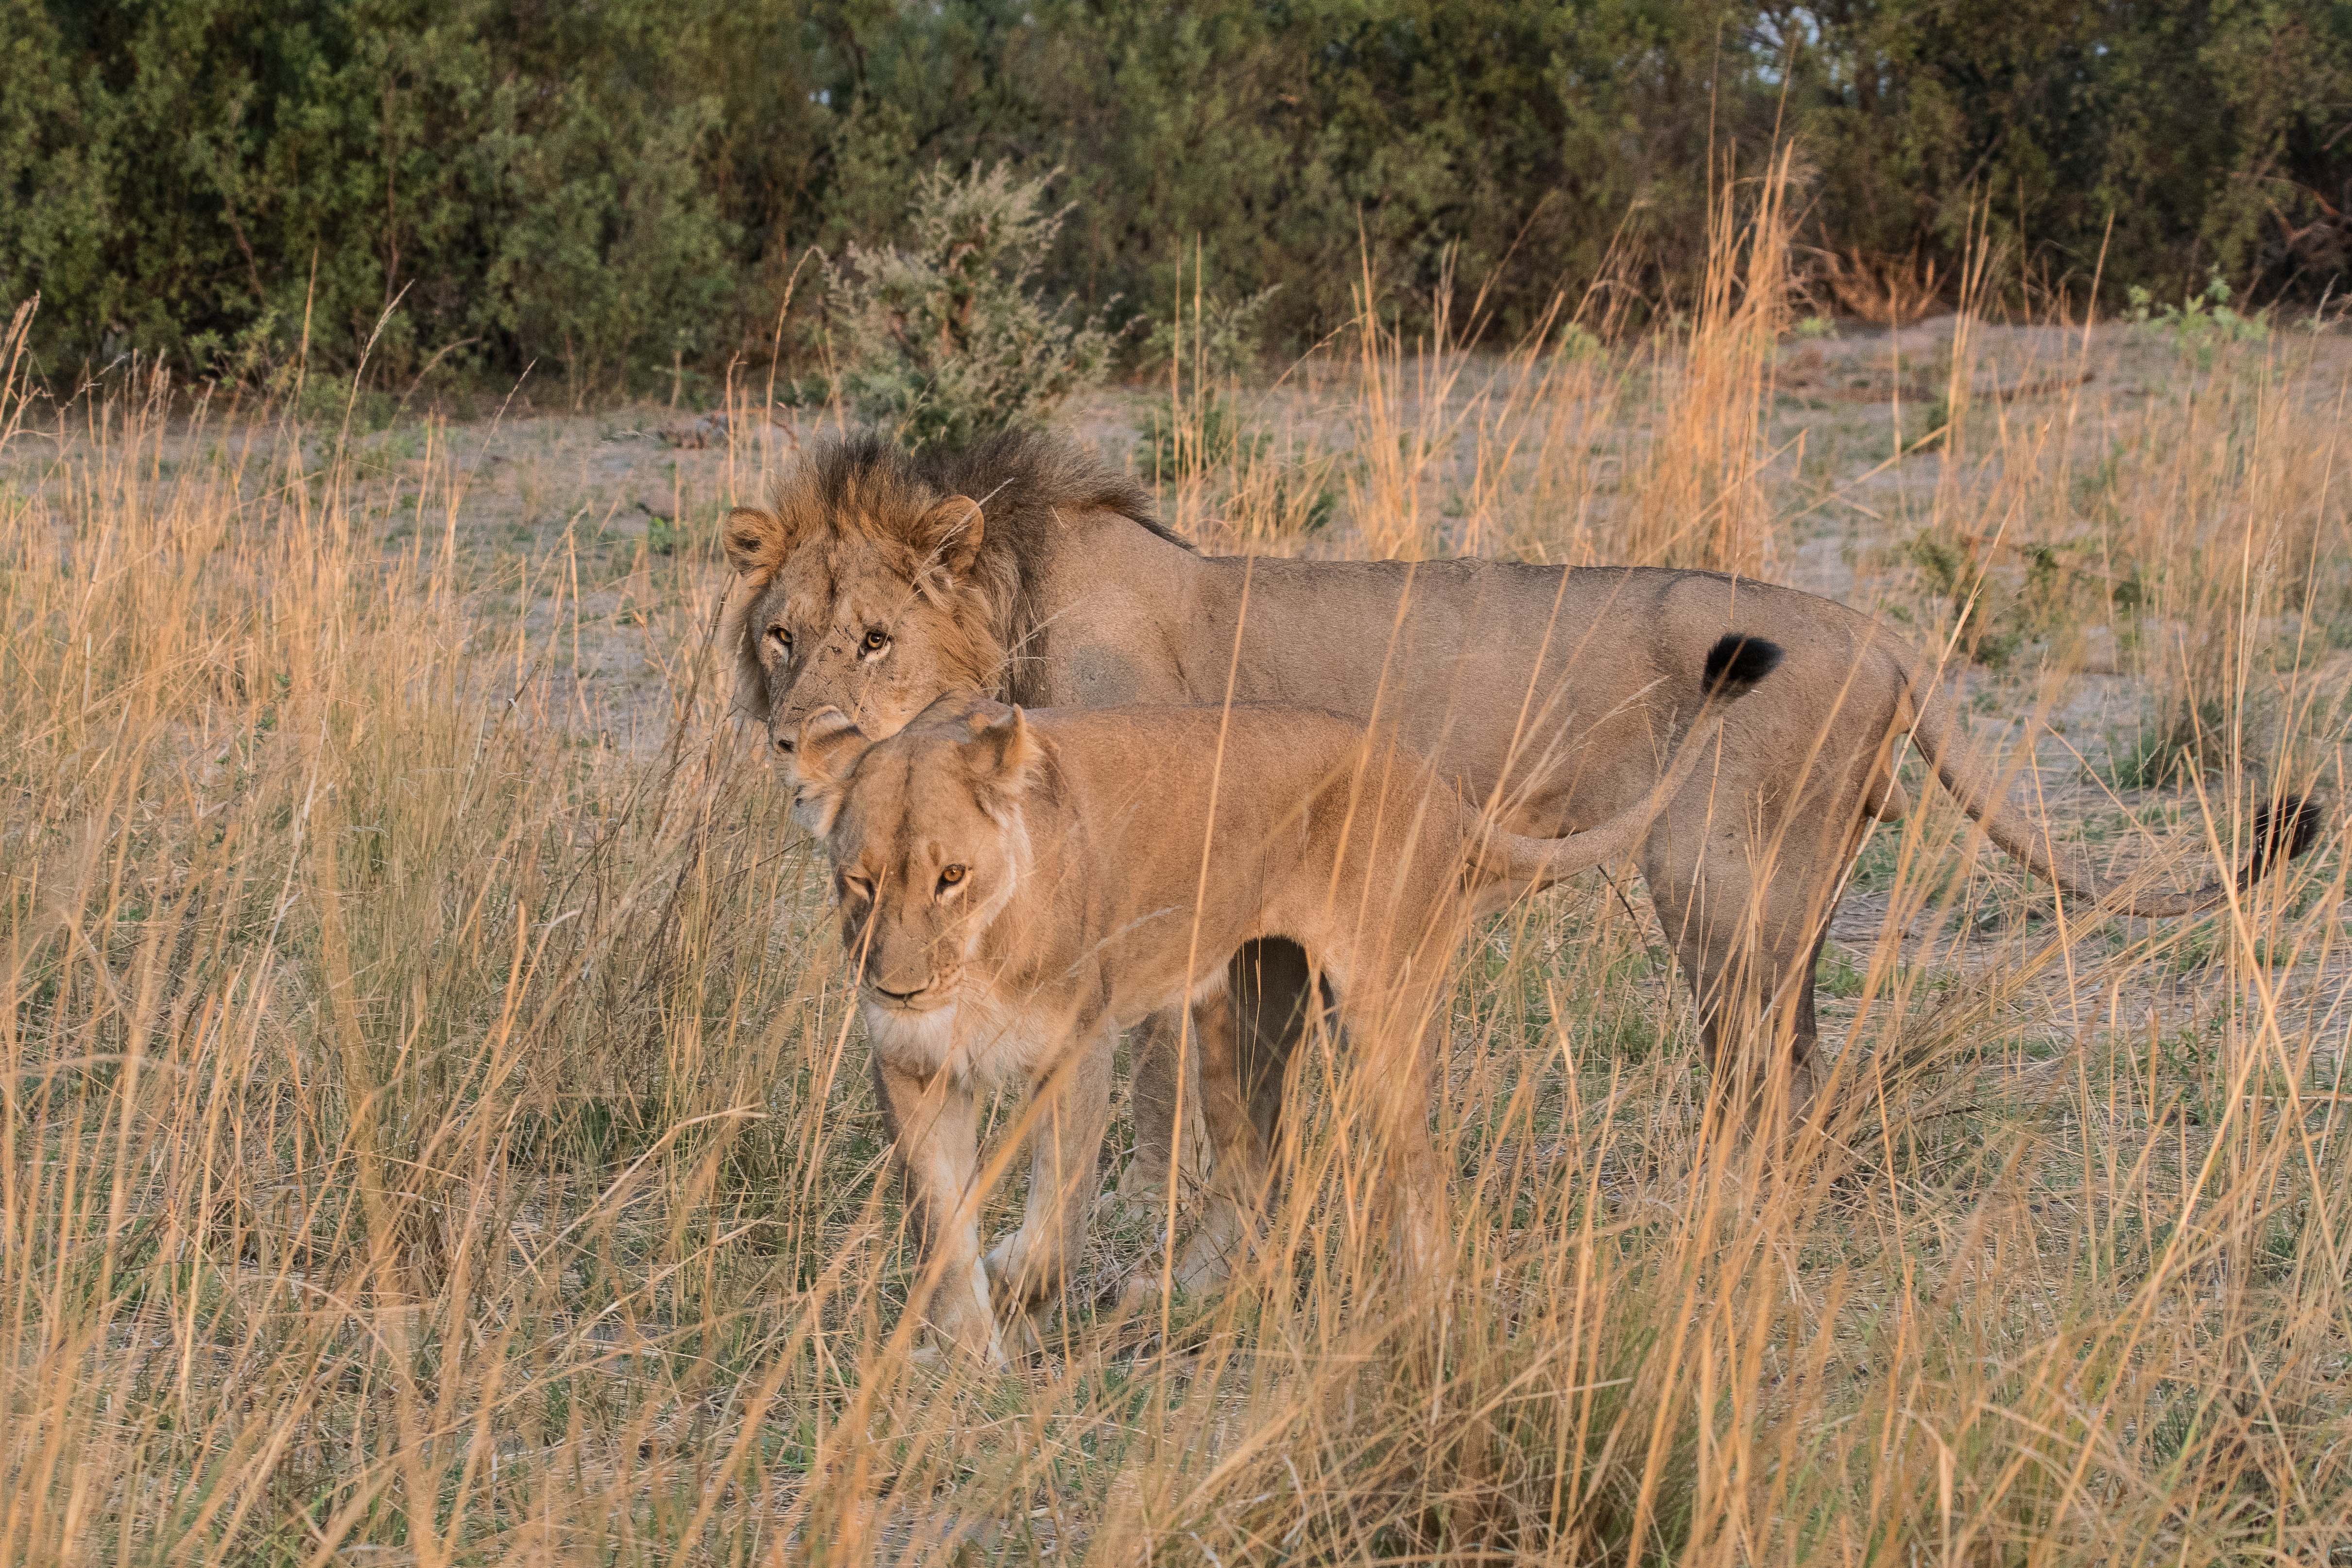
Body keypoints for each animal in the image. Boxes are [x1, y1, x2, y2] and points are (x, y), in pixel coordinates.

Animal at [724, 439, 2323, 1213]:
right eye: (779, 635)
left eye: (873, 638)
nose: (796, 741)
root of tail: (1878, 628)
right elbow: (1253, 1098)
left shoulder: (1158, 898)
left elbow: (1171, 1105)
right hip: (1782, 894)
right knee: (1800, 1065)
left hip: (1713, 876)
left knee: (1762, 1072)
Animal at [781, 639, 1768, 1363]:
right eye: (859, 881)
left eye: (952, 876)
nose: (900, 985)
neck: (977, 957)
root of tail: (1429, 779)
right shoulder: (907, 1065)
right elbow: (940, 1225)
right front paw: (967, 1354)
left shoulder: (1077, 1052)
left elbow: (1051, 1222)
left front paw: (1016, 1297)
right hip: (1236, 1009)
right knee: (1257, 1167)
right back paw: (1171, 1297)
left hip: (1383, 1014)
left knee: (1417, 1176)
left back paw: (1422, 1325)